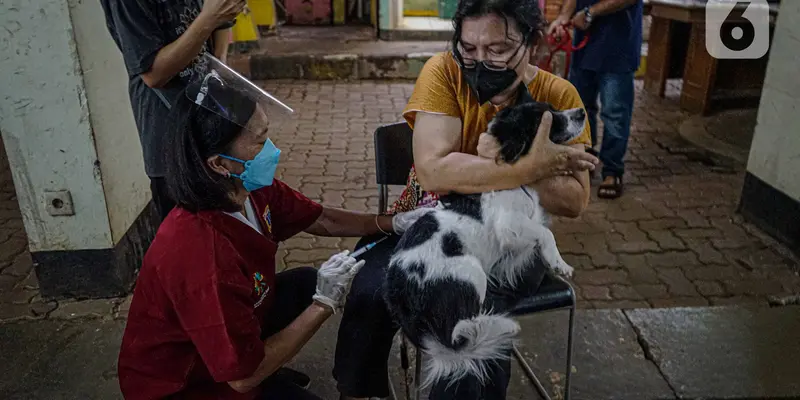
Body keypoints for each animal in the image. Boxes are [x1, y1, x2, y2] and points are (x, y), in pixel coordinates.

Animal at [384, 96, 584, 388]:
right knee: (460, 329)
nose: (582, 112)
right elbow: (546, 234)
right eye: (549, 115)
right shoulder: (508, 225)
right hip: (470, 270)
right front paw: (559, 263)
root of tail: (400, 295)